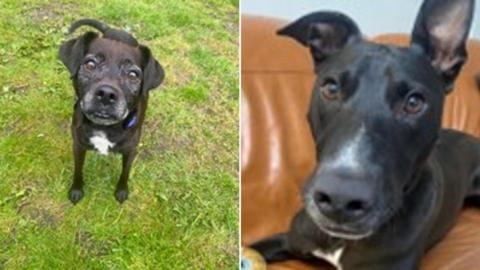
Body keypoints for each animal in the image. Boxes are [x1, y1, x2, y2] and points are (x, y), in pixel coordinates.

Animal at [58, 19, 164, 204]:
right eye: (90, 64)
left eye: (133, 75)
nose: (106, 94)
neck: (104, 127)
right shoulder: (78, 146)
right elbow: (78, 170)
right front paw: (76, 190)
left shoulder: (130, 151)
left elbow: (125, 173)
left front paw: (121, 191)